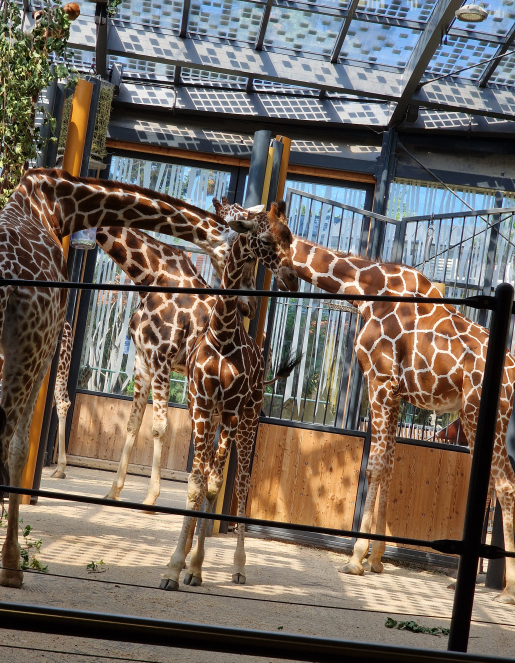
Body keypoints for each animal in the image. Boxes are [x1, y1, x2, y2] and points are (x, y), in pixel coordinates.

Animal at [0, 167, 260, 588]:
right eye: (242, 251)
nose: (248, 303)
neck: (150, 273)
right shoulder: (142, 360)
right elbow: (134, 424)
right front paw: (114, 492)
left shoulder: (160, 357)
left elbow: (157, 426)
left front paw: (150, 499)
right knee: (214, 473)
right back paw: (196, 565)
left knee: (231, 475)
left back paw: (224, 565)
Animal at [161, 200, 298, 588]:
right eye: (264, 239)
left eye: (289, 236)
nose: (292, 280)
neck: (222, 335)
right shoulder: (202, 405)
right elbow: (196, 484)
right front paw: (175, 567)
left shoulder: (234, 411)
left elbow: (220, 485)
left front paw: (193, 565)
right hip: (212, 417)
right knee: (211, 474)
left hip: (247, 417)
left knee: (238, 483)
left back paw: (236, 566)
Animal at [286, 240, 515, 608]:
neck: (367, 290)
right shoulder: (396, 391)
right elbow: (390, 465)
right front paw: (377, 560)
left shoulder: (379, 380)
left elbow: (375, 465)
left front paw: (355, 559)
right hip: (478, 417)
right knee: (495, 483)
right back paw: (461, 581)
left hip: (479, 412)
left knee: (505, 483)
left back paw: (507, 591)